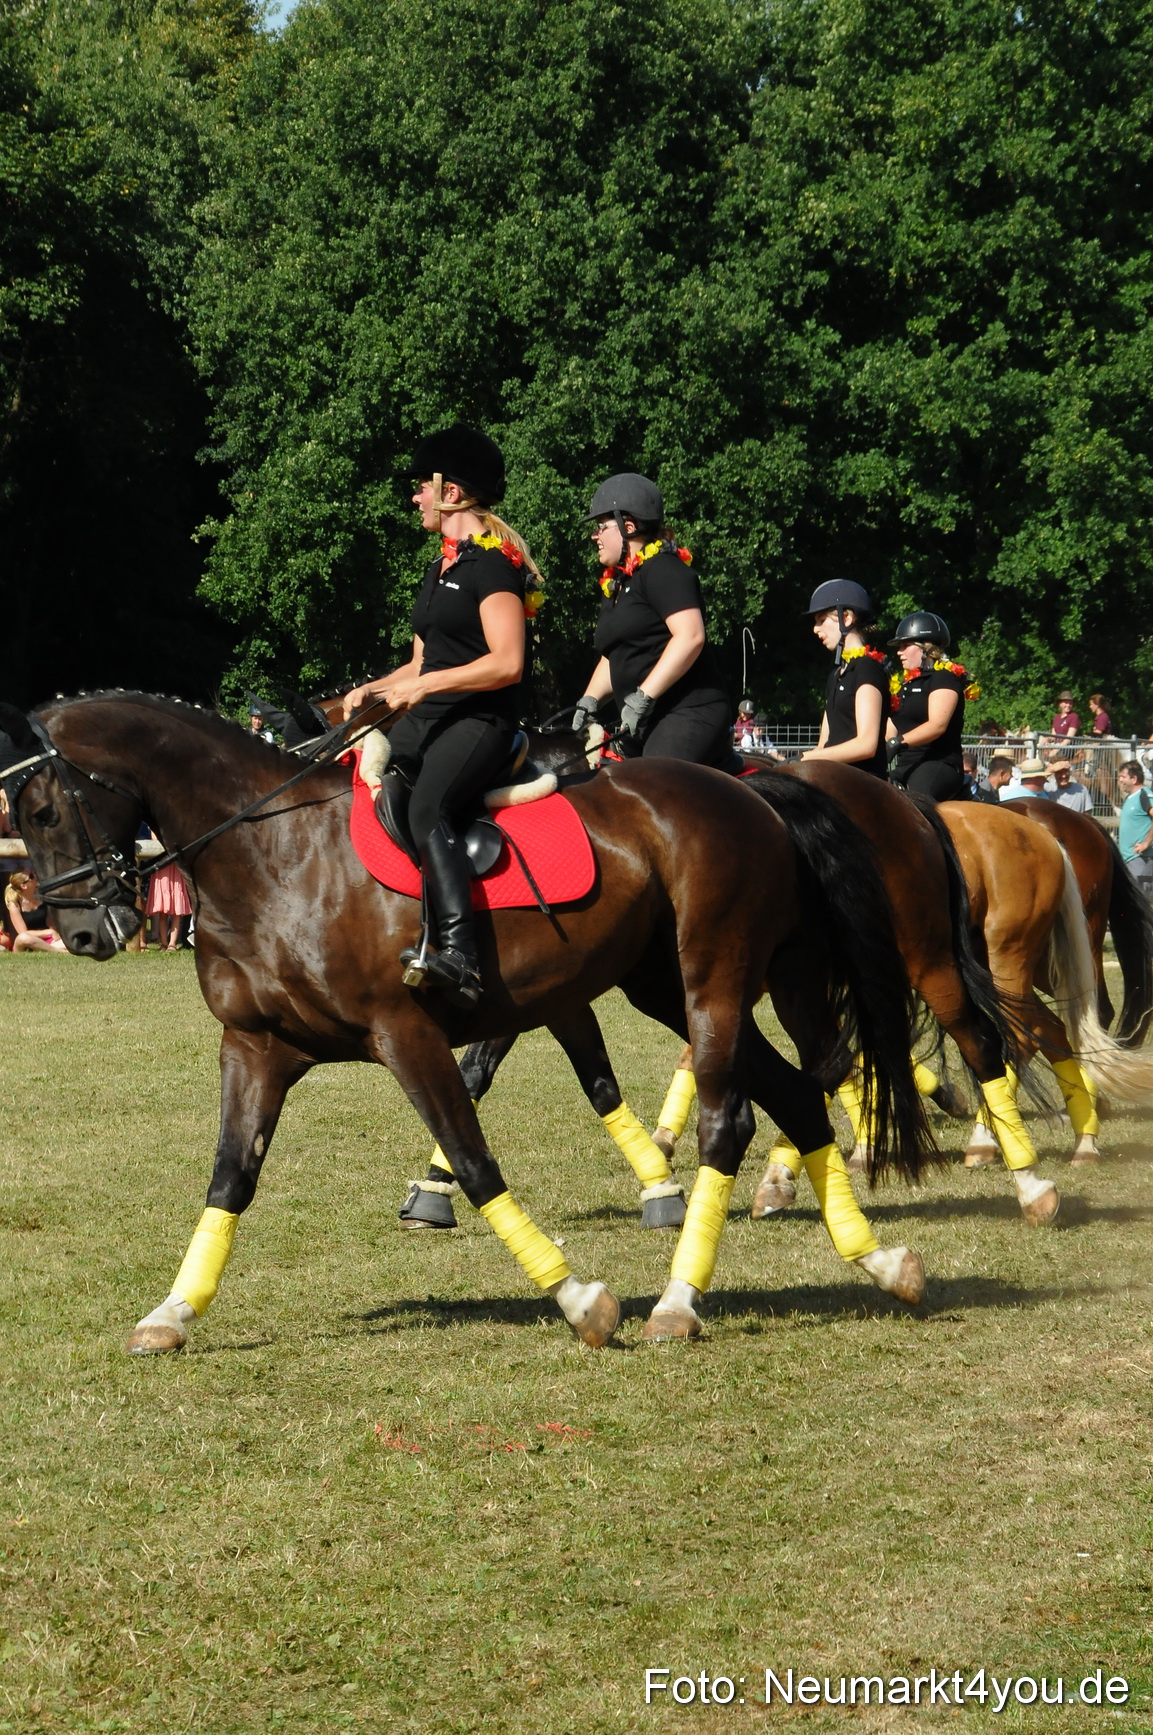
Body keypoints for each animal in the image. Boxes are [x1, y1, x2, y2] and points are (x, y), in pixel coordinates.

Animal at [0, 693, 934, 1350]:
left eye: (41, 812)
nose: (83, 932)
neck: (272, 854)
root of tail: (752, 790)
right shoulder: (256, 1048)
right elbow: (231, 1177)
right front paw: (171, 1311)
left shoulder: (404, 1034)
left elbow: (477, 1157)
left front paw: (578, 1299)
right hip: (661, 985)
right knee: (799, 1096)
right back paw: (880, 1262)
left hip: (714, 979)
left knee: (730, 1116)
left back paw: (678, 1298)